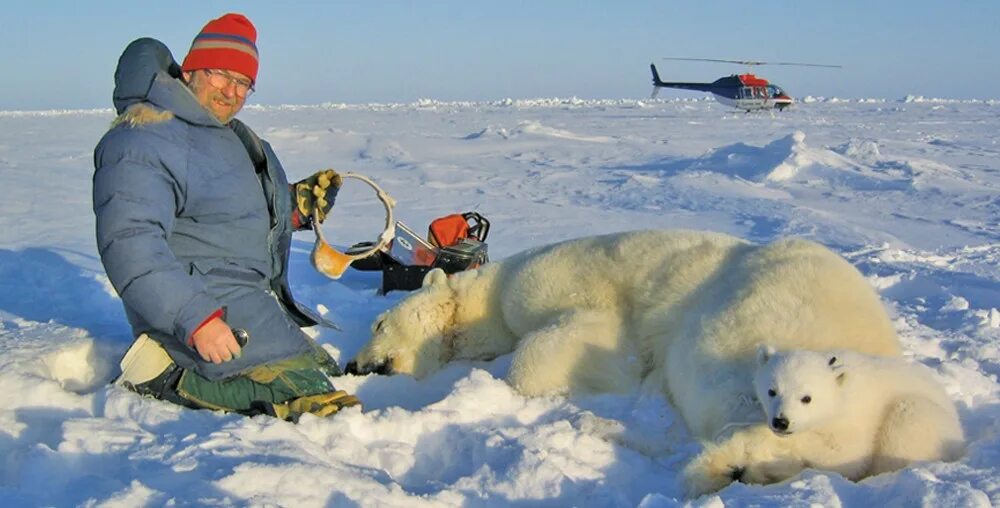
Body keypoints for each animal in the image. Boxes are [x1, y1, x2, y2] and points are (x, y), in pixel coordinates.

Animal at [348, 232, 912, 490]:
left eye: (377, 325)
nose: (352, 367)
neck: (493, 290)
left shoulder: (552, 285)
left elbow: (576, 339)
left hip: (747, 314)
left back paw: (715, 462)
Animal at [684, 348, 964, 494]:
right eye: (772, 391)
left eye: (806, 398)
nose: (781, 422)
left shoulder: (855, 420)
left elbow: (842, 455)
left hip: (923, 418)